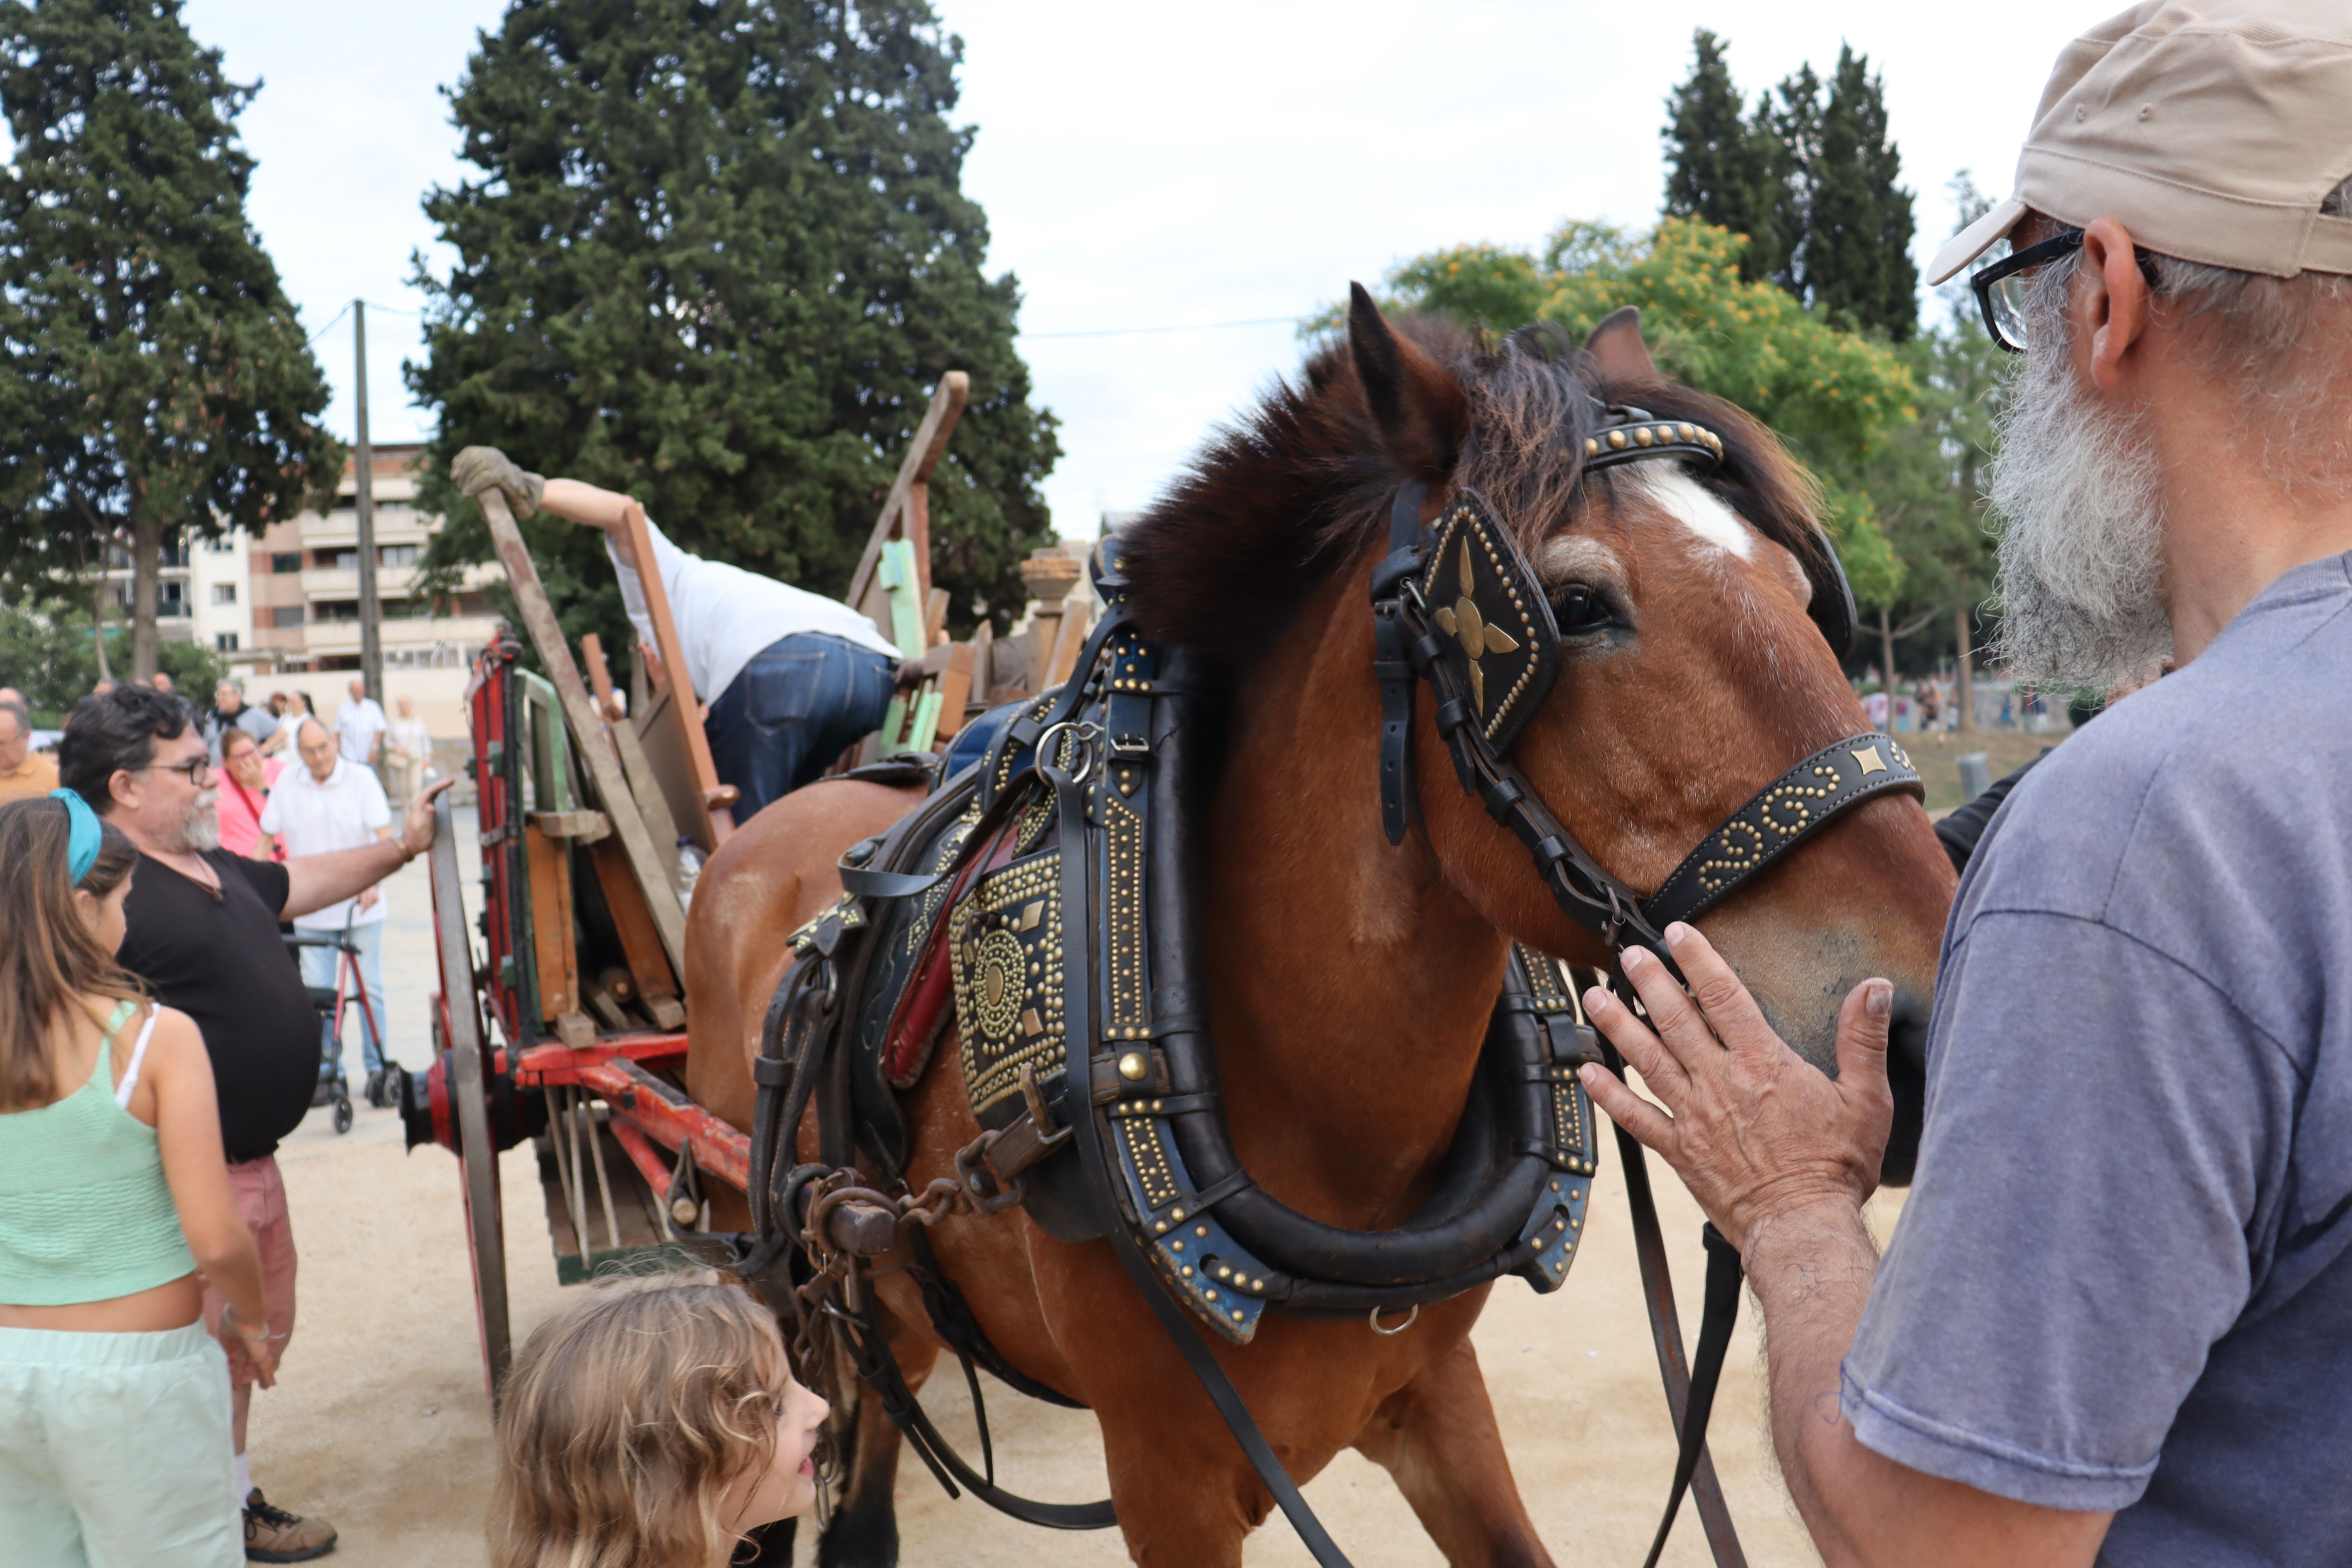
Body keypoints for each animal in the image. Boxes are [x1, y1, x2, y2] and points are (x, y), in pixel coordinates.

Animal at [677, 297, 1947, 1568]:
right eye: (1578, 608)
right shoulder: (1168, 1478)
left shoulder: (1432, 1393)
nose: (1917, 1032)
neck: (1334, 1131)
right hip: (771, 1269)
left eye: (1801, 592)